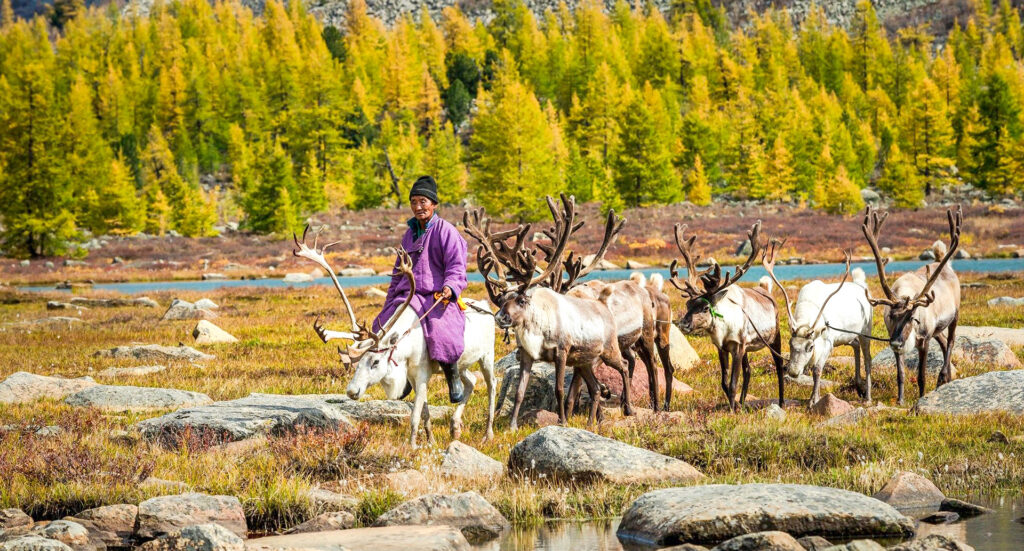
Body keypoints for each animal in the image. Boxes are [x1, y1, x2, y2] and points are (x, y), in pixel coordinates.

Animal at [292, 226, 496, 448]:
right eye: (356, 363)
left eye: (375, 362)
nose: (351, 392)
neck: (408, 345)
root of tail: (485, 305)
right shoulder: (413, 377)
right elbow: (424, 412)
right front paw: (431, 440)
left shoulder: (422, 374)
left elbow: (415, 415)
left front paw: (413, 445)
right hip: (463, 363)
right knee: (470, 381)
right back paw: (455, 426)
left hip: (487, 356)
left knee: (491, 385)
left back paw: (488, 434)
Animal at [463, 193, 632, 430]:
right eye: (501, 301)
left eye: (521, 299)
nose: (500, 317)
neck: (536, 329)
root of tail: (603, 305)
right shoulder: (526, 355)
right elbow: (520, 392)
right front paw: (512, 425)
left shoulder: (562, 352)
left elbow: (560, 389)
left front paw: (563, 421)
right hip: (584, 360)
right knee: (596, 388)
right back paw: (592, 422)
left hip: (608, 349)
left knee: (623, 366)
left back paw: (628, 408)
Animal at [668, 221, 785, 412]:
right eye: (688, 305)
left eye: (705, 308)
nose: (683, 324)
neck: (722, 330)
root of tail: (766, 291)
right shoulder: (722, 348)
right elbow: (724, 382)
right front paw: (735, 405)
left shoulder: (738, 347)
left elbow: (732, 383)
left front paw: (731, 410)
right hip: (748, 347)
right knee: (748, 371)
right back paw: (743, 403)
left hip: (775, 336)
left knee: (779, 365)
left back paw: (781, 402)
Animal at [762, 243, 872, 405]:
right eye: (790, 344)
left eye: (810, 347)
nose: (793, 372)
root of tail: (861, 286)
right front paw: (814, 396)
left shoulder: (828, 342)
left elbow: (817, 370)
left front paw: (813, 400)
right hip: (847, 336)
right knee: (856, 345)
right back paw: (858, 386)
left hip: (866, 330)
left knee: (868, 358)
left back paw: (868, 397)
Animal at [862, 205, 963, 405]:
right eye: (891, 316)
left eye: (912, 318)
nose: (896, 342)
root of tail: (945, 264)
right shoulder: (894, 339)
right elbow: (900, 374)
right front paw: (900, 400)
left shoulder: (924, 340)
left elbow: (921, 375)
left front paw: (921, 397)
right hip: (936, 329)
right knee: (944, 341)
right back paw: (946, 378)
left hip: (955, 313)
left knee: (951, 341)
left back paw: (943, 376)